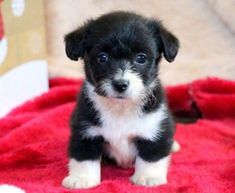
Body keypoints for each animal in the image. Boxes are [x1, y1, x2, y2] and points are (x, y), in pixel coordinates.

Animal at [61, 11, 179, 189]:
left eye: (141, 58)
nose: (121, 84)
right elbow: (83, 157)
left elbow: (152, 155)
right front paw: (82, 178)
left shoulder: (155, 127)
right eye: (102, 58)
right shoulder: (85, 130)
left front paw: (148, 176)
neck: (120, 109)